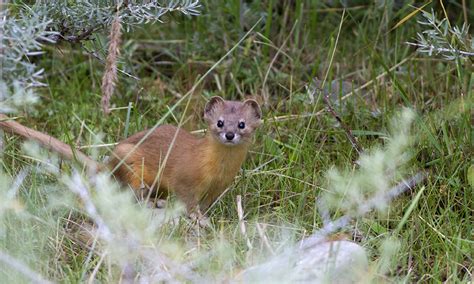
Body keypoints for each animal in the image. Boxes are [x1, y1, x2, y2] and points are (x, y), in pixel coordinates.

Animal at [0, 96, 262, 214]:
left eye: (242, 124)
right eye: (219, 122)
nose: (229, 134)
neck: (218, 172)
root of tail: (107, 164)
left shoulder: (219, 187)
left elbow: (206, 204)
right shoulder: (185, 180)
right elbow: (188, 201)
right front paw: (200, 221)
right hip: (131, 161)